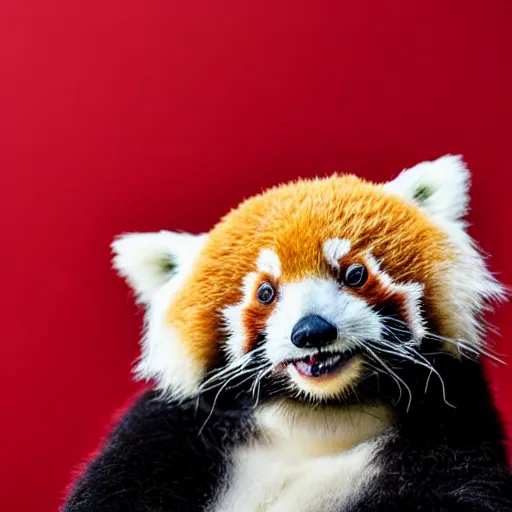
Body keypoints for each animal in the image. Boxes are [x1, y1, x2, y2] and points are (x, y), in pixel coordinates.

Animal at [64, 156, 512, 512]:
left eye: (354, 274)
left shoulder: (454, 428)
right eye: (265, 292)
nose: (312, 331)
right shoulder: (162, 436)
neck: (318, 418)